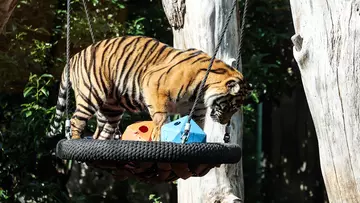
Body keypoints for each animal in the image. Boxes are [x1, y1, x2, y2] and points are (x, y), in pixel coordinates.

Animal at [47, 35, 250, 141]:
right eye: (231, 106)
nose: (224, 122)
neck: (201, 92)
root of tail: (73, 57)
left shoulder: (197, 110)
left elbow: (196, 126)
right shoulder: (153, 84)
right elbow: (161, 117)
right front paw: (159, 133)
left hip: (111, 108)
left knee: (104, 130)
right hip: (91, 94)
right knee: (75, 120)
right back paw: (75, 140)